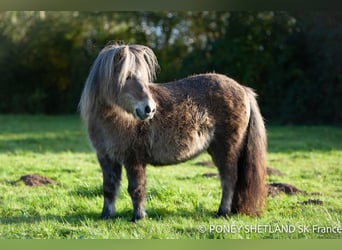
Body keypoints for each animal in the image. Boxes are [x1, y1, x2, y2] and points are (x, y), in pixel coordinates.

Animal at [80, 43, 268, 221]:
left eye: (143, 78)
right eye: (127, 77)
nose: (149, 109)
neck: (116, 119)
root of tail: (243, 89)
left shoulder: (133, 159)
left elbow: (136, 188)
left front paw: (138, 217)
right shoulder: (106, 158)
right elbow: (109, 188)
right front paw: (106, 215)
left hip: (226, 150)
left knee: (229, 180)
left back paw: (222, 212)